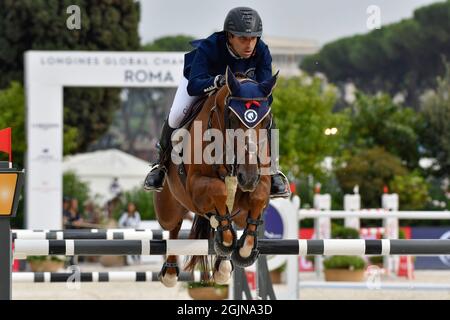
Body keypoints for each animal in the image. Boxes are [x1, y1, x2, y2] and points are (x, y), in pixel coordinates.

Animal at [153, 67, 276, 288]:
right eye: (233, 119)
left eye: (266, 121)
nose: (248, 178)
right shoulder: (196, 186)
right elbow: (218, 190)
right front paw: (228, 242)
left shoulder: (258, 185)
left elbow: (258, 196)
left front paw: (244, 249)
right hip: (168, 209)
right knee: (173, 227)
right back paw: (170, 272)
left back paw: (223, 265)